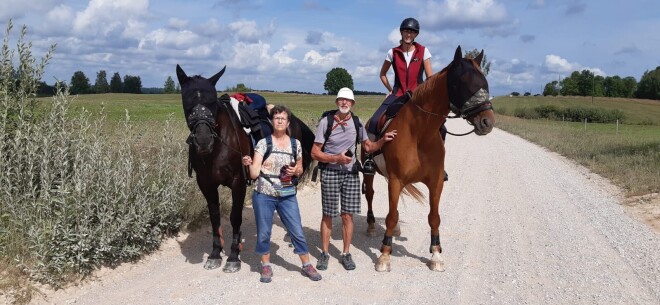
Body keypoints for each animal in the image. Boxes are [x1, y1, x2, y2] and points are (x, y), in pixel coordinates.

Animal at [175, 63, 314, 270]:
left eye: (212, 102)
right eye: (187, 101)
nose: (203, 140)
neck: (218, 148)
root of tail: (294, 119)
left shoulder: (238, 182)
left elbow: (235, 217)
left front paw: (233, 256)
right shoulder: (206, 184)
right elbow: (215, 217)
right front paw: (215, 253)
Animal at [360, 45, 496, 270]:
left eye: (485, 82)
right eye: (462, 83)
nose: (487, 122)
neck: (419, 134)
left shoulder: (435, 182)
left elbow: (434, 217)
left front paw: (436, 254)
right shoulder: (396, 180)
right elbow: (390, 216)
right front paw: (385, 254)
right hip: (370, 173)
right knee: (370, 194)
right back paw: (370, 226)